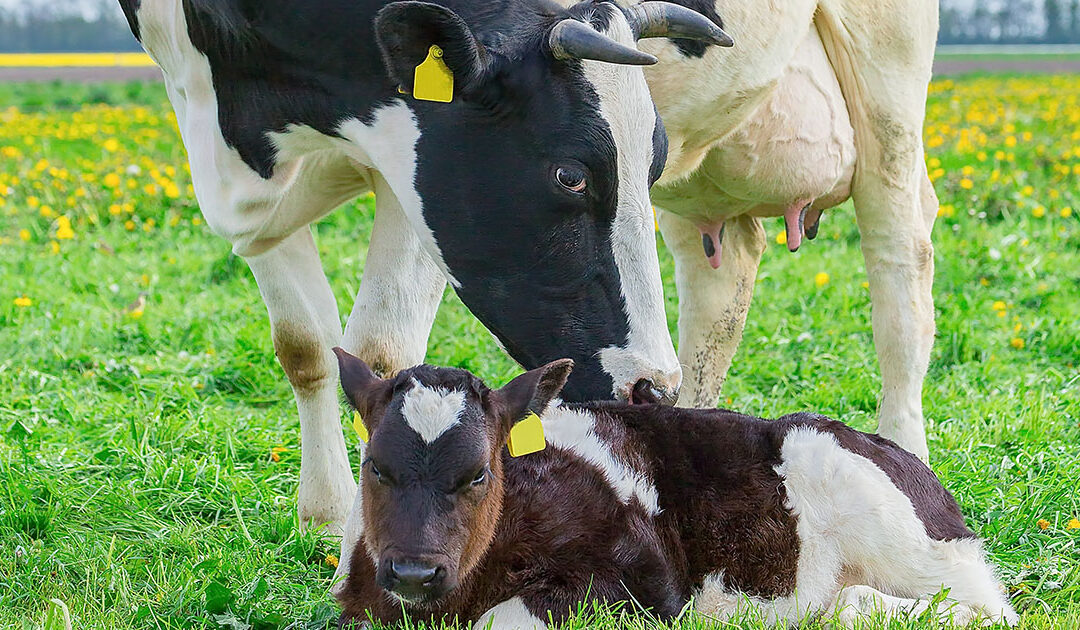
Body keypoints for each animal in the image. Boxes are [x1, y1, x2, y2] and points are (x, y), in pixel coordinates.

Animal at [118, 0, 734, 531]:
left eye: (654, 168)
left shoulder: (412, 165)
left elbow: (381, 353)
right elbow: (303, 346)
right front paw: (325, 512)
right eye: (570, 175)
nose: (654, 388)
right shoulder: (256, 202)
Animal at [332, 350, 1015, 630]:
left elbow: (504, 619)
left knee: (975, 607)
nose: (415, 571)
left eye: (478, 473)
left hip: (898, 534)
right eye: (375, 468)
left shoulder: (646, 588)